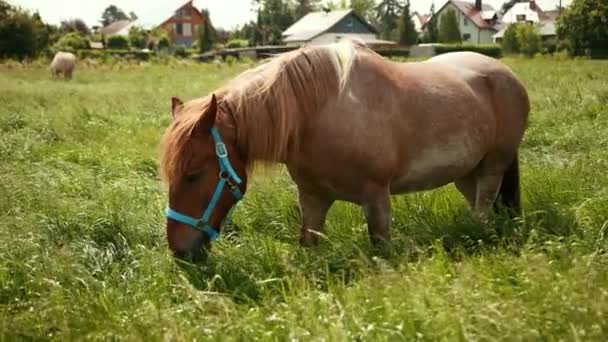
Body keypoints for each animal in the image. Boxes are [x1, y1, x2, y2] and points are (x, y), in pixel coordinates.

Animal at [159, 40, 528, 260]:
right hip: (467, 173)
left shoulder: (376, 197)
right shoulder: (313, 197)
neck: (319, 113)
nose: (179, 250)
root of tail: (505, 73)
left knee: (483, 209)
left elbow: (381, 248)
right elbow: (308, 244)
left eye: (193, 175)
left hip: (493, 166)